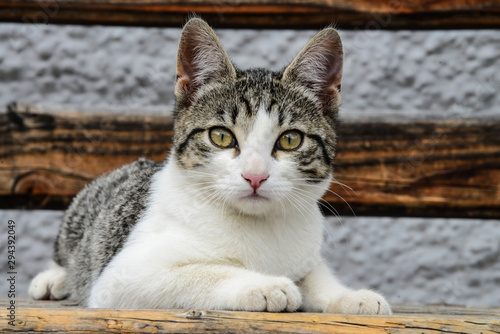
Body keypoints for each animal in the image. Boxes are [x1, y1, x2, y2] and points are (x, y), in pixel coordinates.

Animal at [29, 17, 392, 316]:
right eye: (221, 136)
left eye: (290, 140)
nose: (255, 176)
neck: (258, 226)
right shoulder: (120, 277)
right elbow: (201, 272)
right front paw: (264, 283)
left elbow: (317, 274)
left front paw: (348, 295)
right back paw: (53, 279)